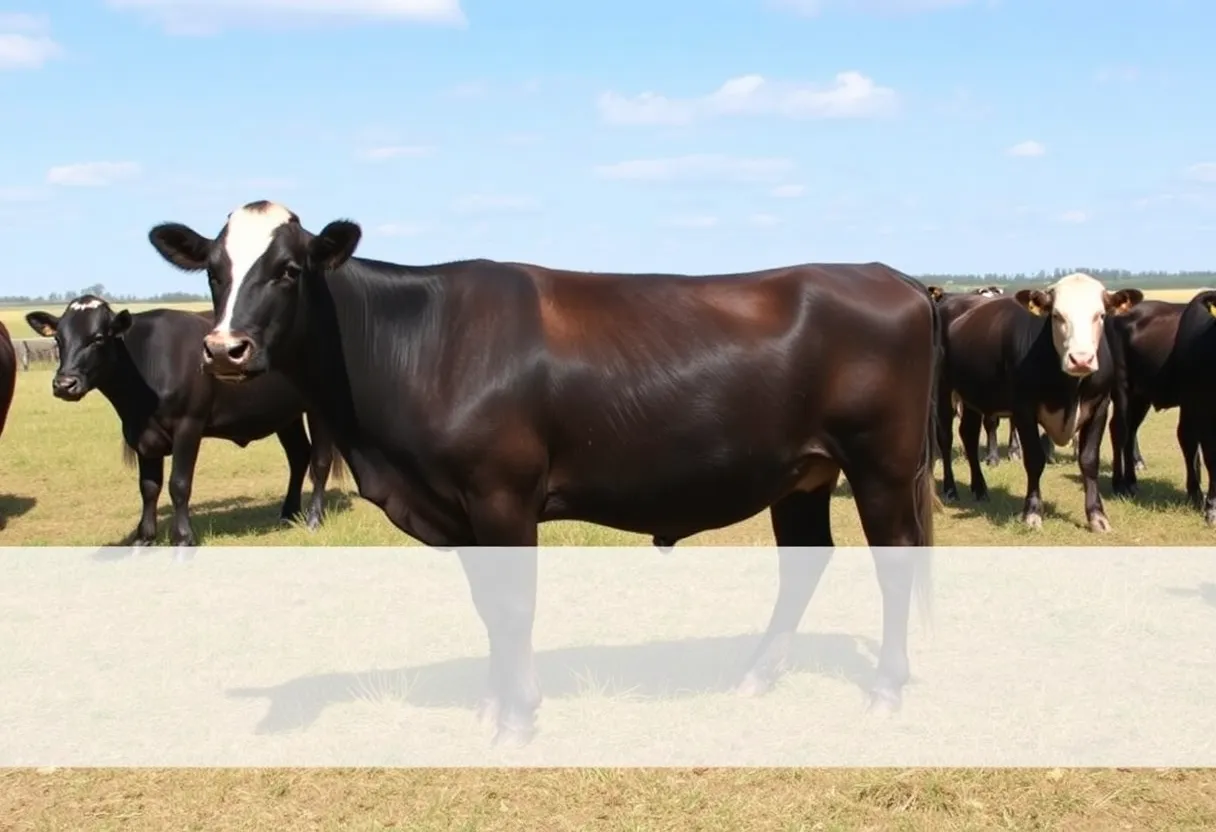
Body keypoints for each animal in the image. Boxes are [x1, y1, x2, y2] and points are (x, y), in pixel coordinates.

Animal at [24, 296, 347, 544]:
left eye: (98, 338)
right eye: (58, 338)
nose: (64, 384)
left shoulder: (188, 425)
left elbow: (179, 484)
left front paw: (183, 537)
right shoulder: (142, 434)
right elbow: (148, 487)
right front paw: (144, 537)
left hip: (319, 408)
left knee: (319, 461)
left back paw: (314, 518)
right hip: (283, 413)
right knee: (299, 455)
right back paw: (288, 513)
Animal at [142, 199, 938, 749]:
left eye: (288, 270)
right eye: (214, 271)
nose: (225, 349)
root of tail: (891, 276)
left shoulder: (502, 492)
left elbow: (515, 605)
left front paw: (519, 717)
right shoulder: (458, 505)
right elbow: (488, 607)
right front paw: (493, 704)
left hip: (881, 464)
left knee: (894, 562)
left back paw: (888, 689)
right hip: (801, 473)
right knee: (806, 563)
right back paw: (754, 676)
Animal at [933, 272, 1143, 532]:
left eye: (1100, 315)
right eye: (1056, 315)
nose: (1081, 359)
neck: (1069, 388)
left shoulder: (1099, 407)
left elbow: (1088, 460)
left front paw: (1097, 515)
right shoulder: (1024, 410)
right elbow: (1034, 459)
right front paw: (1032, 512)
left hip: (972, 395)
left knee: (969, 436)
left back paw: (980, 488)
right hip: (943, 390)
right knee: (946, 437)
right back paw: (951, 488)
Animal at [1108, 300, 1191, 501]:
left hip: (1140, 397)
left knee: (1130, 432)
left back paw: (1131, 481)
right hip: (1122, 389)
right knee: (1119, 430)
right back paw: (1119, 484)